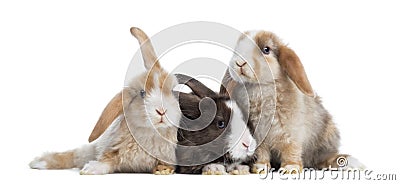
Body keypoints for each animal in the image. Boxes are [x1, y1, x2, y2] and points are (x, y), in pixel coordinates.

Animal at [29, 26, 181, 174]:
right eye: (142, 93)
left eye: (172, 91)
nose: (162, 111)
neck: (153, 132)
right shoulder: (114, 152)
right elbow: (106, 161)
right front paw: (90, 169)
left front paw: (163, 170)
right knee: (73, 155)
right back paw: (38, 162)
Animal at [220, 29, 364, 173]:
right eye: (237, 47)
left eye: (266, 49)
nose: (239, 63)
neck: (261, 87)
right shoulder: (258, 135)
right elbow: (261, 151)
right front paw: (260, 167)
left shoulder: (292, 131)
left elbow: (291, 148)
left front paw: (291, 168)